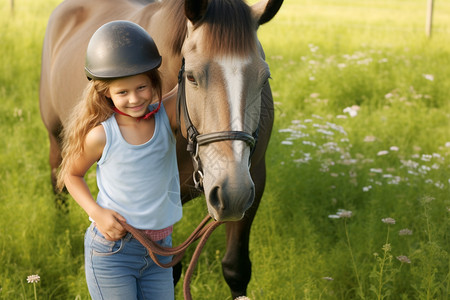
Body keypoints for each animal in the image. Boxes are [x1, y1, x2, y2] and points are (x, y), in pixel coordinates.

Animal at [40, 0, 284, 296]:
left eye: (264, 78)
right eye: (191, 77)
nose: (232, 190)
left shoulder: (254, 180)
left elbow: (235, 268)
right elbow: (170, 269)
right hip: (57, 137)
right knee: (59, 180)